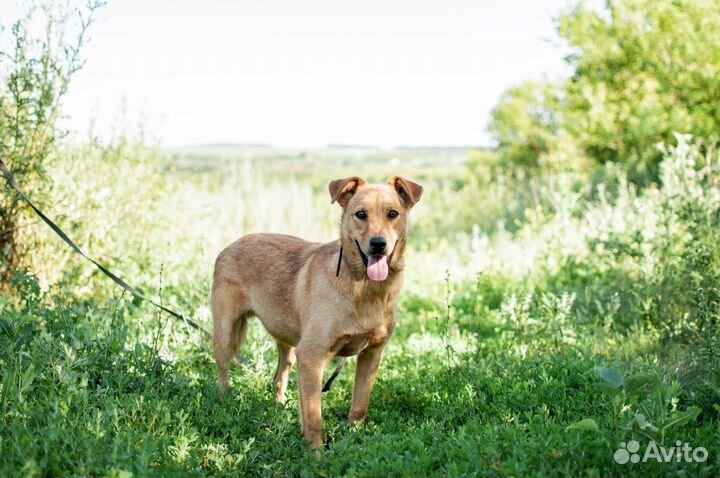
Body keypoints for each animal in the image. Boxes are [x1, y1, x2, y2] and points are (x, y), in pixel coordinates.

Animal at [210, 176, 422, 448]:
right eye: (360, 214)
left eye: (392, 214)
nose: (378, 245)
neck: (364, 290)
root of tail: (232, 244)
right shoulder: (312, 357)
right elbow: (313, 418)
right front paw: (316, 454)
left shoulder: (371, 355)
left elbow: (359, 408)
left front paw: (354, 442)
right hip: (227, 334)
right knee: (223, 371)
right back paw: (225, 403)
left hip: (289, 344)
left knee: (279, 375)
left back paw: (280, 409)